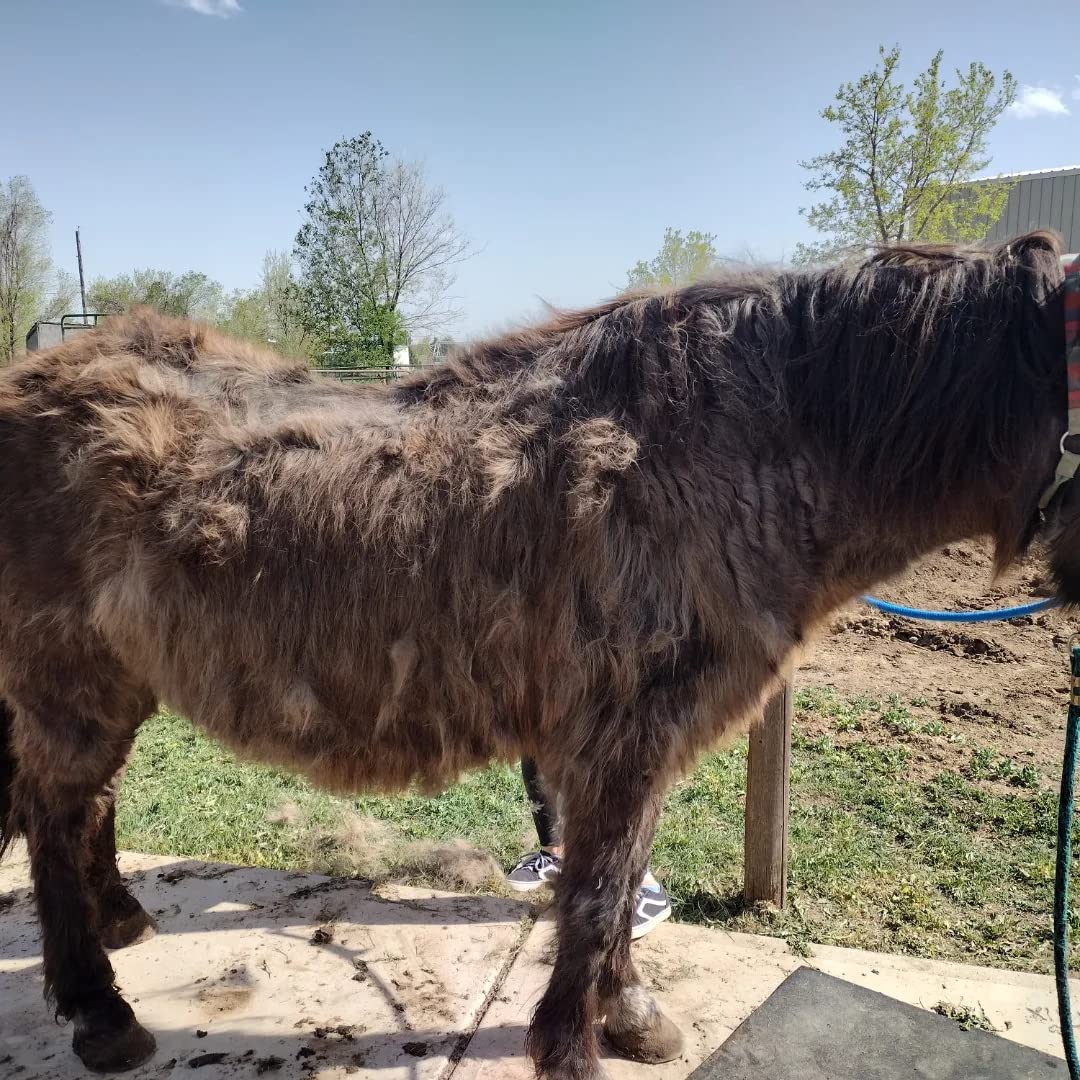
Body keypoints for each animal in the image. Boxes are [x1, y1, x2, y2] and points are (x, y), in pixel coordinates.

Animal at [0, 230, 1077, 1080]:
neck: (733, 450)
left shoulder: (645, 743)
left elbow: (620, 882)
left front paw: (632, 1016)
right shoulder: (618, 740)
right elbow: (595, 899)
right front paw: (573, 1047)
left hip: (120, 681)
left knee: (88, 805)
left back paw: (122, 921)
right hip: (69, 681)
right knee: (54, 818)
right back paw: (100, 1012)